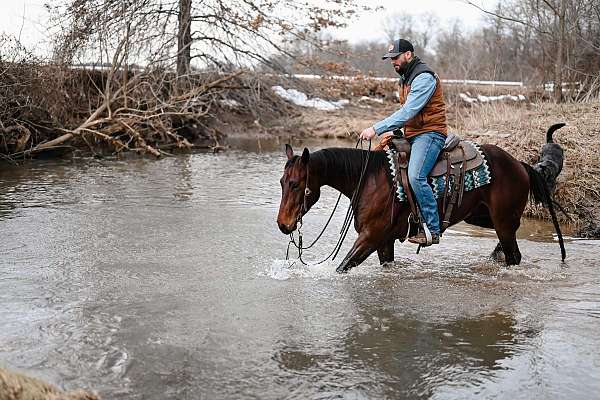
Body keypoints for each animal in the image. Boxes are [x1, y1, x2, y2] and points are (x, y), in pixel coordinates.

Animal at [278, 123, 568, 274]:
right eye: (282, 182)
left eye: (296, 184)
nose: (283, 225)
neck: (369, 178)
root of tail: (520, 165)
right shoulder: (383, 241)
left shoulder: (370, 237)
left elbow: (343, 267)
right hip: (485, 218)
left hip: (503, 221)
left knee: (513, 256)